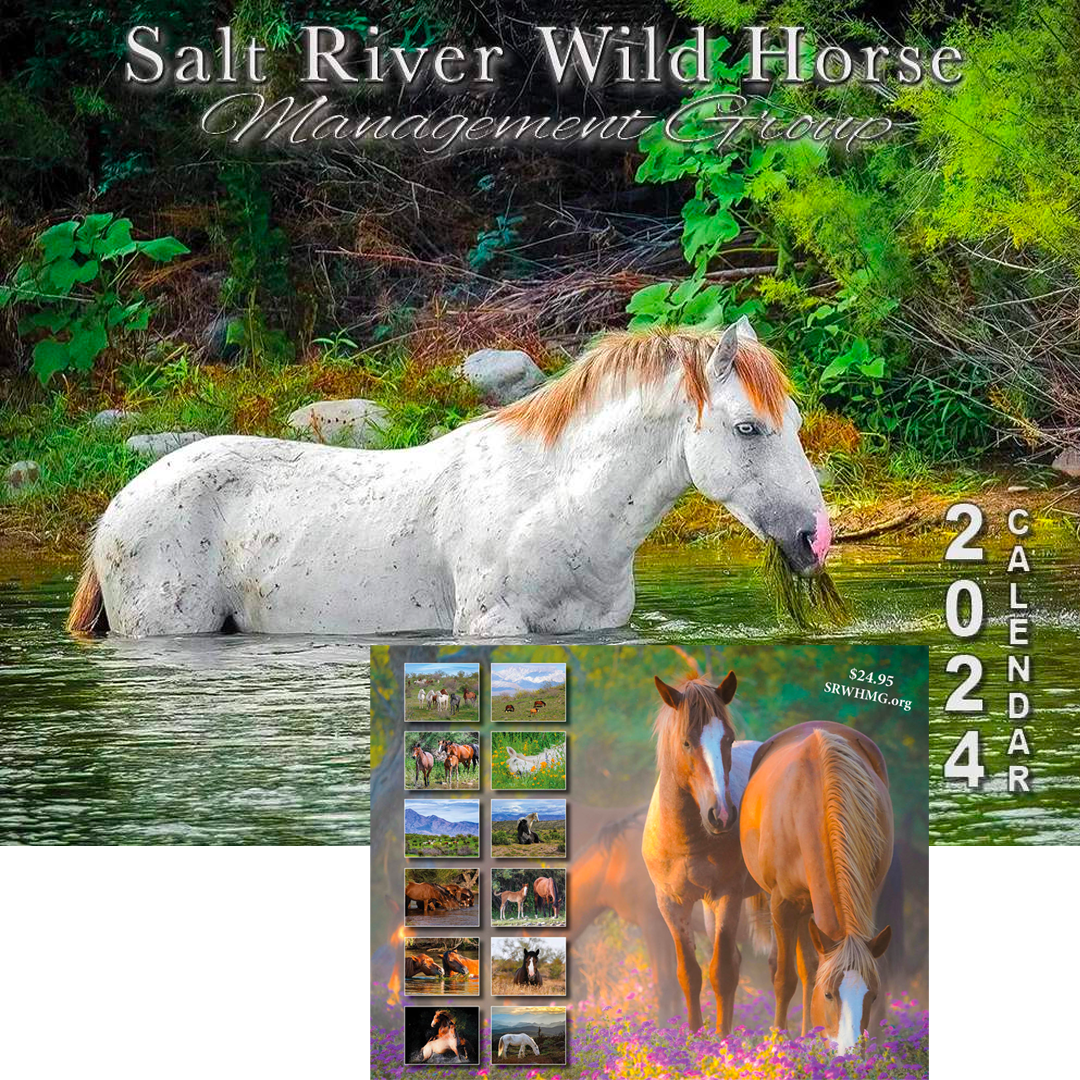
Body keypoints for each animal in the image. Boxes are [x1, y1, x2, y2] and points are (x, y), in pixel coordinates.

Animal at [67, 319, 831, 637]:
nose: (816, 539)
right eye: (749, 428)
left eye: (795, 419)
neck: (552, 507)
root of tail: (114, 513)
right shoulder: (494, 626)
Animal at [642, 672, 760, 1035]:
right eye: (686, 743)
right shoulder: (671, 905)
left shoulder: (726, 897)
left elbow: (721, 973)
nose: (721, 815)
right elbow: (689, 975)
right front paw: (694, 1039)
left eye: (728, 740)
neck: (687, 840)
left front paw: (722, 1043)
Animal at [740, 721, 894, 1056]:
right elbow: (784, 978)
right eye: (829, 995)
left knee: (810, 967)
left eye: (872, 995)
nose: (851, 1053)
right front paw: (778, 1044)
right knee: (802, 969)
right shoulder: (782, 904)